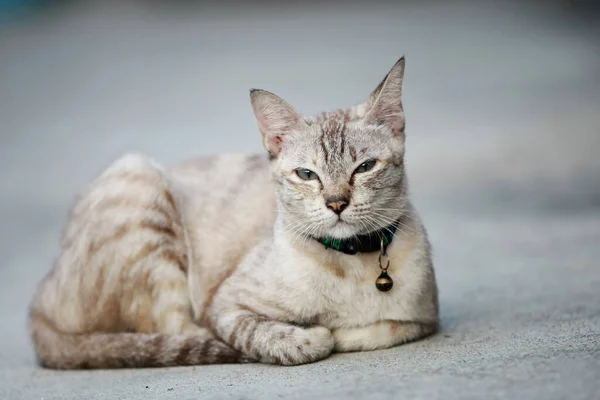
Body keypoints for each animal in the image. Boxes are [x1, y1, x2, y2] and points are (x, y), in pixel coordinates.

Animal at [28, 57, 438, 368]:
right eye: (307, 175)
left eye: (364, 168)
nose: (336, 203)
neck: (352, 262)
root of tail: (41, 292)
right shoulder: (224, 307)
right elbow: (287, 338)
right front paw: (313, 333)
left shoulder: (424, 318)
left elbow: (383, 329)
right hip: (139, 177)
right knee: (168, 336)